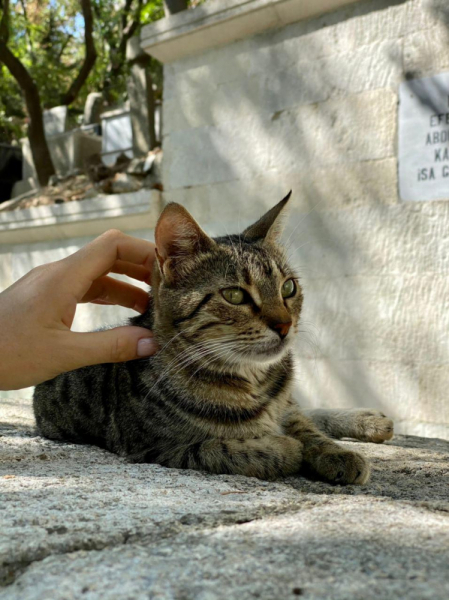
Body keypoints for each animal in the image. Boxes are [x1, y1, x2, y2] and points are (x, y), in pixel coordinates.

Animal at [34, 195, 392, 486]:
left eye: (288, 287)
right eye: (234, 295)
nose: (285, 324)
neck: (253, 383)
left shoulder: (286, 407)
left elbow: (307, 427)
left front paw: (336, 452)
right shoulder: (158, 448)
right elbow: (228, 448)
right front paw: (284, 447)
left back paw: (368, 419)